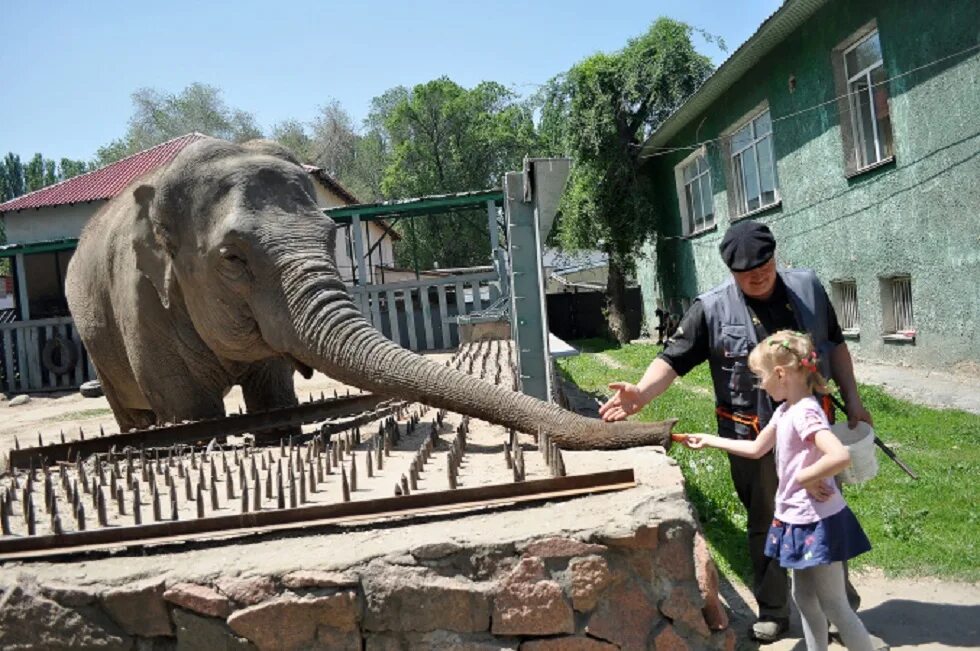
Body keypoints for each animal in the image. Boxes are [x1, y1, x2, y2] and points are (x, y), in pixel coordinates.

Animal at [63, 138, 672, 450]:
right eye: (232, 259)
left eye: (330, 236)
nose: (666, 431)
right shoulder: (141, 305)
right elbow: (188, 409)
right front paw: (203, 442)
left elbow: (273, 396)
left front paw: (276, 438)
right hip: (97, 337)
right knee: (132, 411)